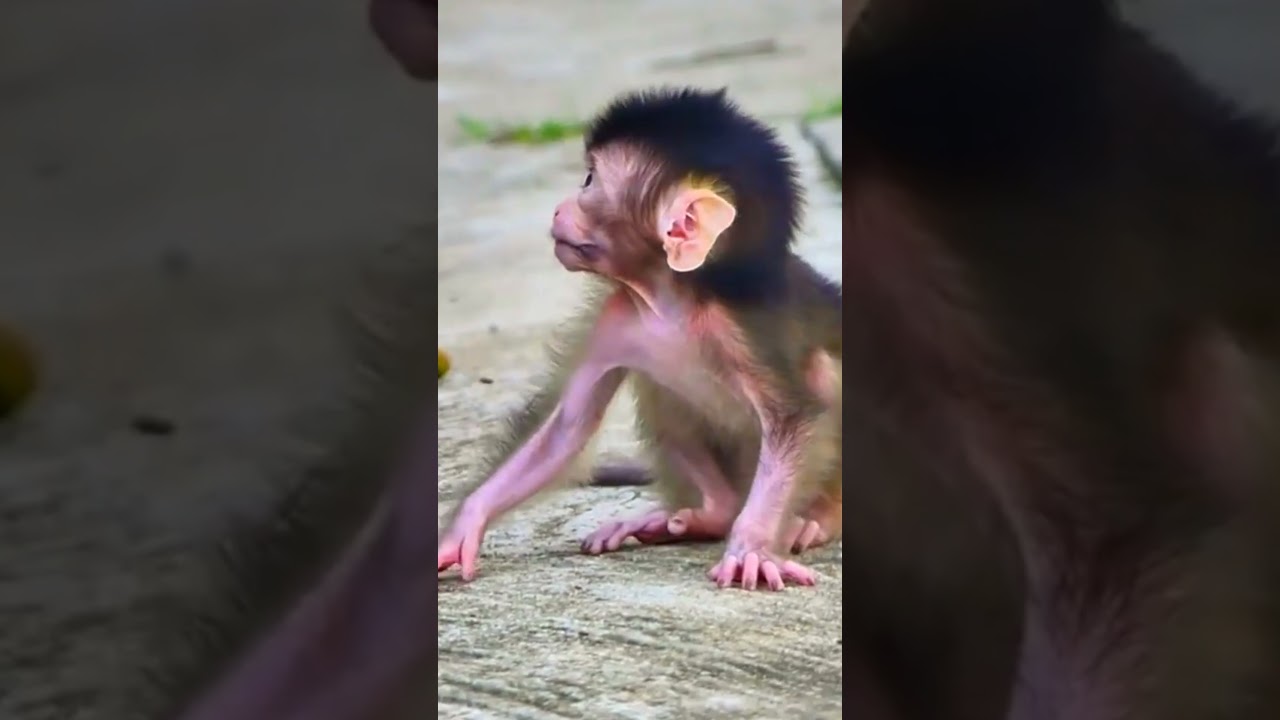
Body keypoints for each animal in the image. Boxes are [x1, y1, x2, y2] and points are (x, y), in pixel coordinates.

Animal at [435, 87, 844, 591]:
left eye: (590, 180)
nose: (558, 208)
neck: (675, 301)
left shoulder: (745, 331)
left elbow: (793, 418)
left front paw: (751, 547)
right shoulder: (618, 318)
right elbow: (567, 428)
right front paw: (464, 526)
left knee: (821, 372)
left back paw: (820, 517)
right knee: (658, 386)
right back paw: (710, 514)